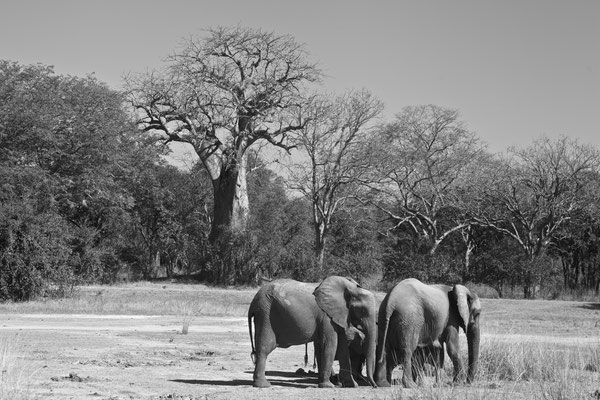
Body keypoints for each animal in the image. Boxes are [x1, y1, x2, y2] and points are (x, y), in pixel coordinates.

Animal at [247, 276, 378, 386]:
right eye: (363, 311)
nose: (374, 386)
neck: (349, 287)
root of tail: (253, 302)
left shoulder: (337, 315)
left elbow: (342, 346)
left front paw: (352, 385)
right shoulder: (326, 316)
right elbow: (331, 344)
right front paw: (328, 386)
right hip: (265, 314)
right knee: (265, 347)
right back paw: (264, 385)